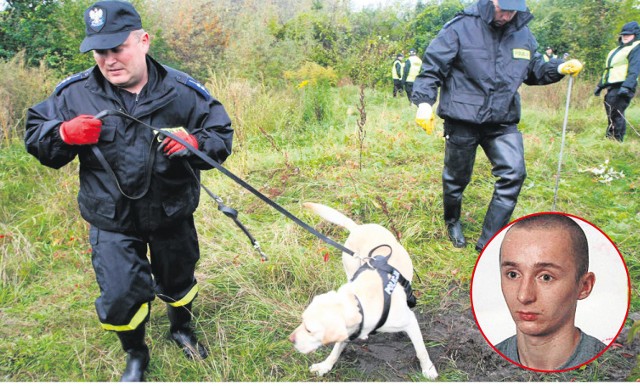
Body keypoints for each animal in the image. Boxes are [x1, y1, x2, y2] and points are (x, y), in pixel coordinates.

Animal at [288, 204, 438, 378]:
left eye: (309, 330)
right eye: (302, 320)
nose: (290, 339)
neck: (361, 302)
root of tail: (357, 228)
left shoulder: (410, 322)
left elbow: (421, 351)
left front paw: (428, 369)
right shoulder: (347, 331)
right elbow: (336, 349)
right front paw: (325, 365)